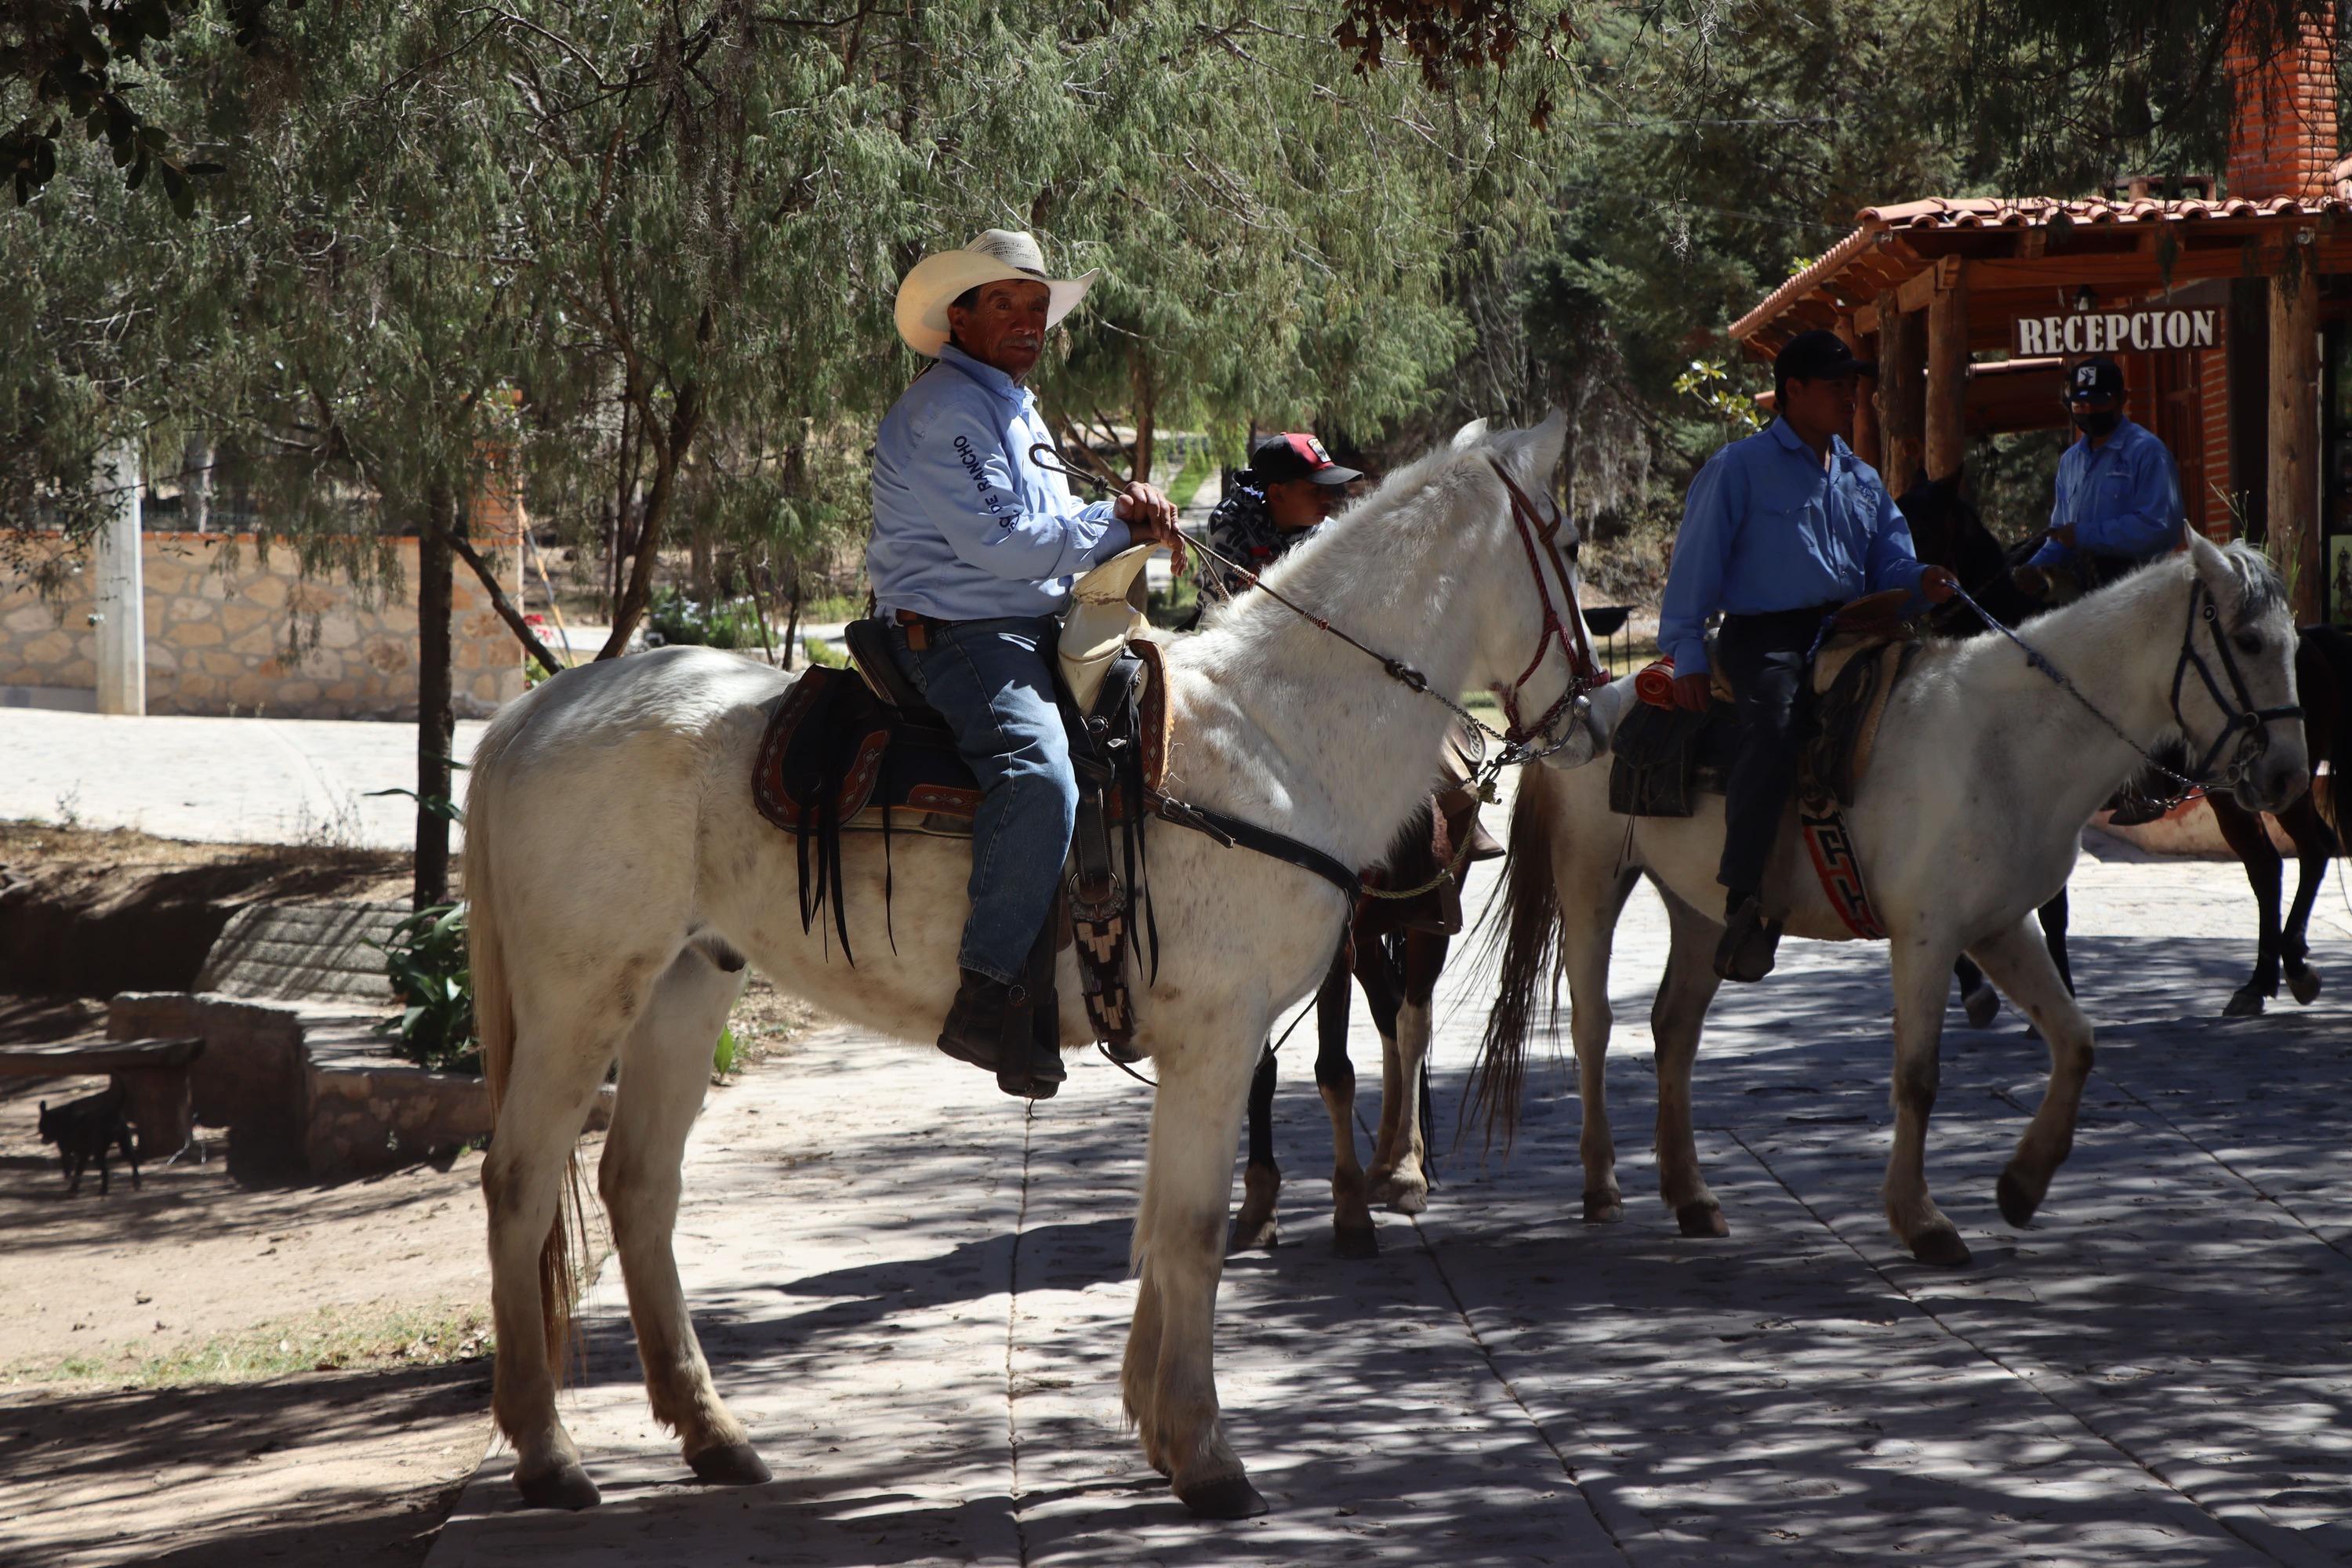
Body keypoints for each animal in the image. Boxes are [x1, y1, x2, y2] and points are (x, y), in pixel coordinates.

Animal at [463, 416, 1599, 1523]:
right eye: (1568, 539)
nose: (1589, 714)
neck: (1274, 738)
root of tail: (534, 714)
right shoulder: (1218, 1037)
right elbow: (1193, 1231)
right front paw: (1208, 1457)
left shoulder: (1202, 1049)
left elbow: (1159, 1225)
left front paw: (1156, 1426)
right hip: (582, 996)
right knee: (520, 1180)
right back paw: (549, 1453)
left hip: (687, 982)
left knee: (638, 1185)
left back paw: (714, 1435)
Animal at [1477, 535, 2305, 1260]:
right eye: (2248, 642)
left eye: (2296, 643)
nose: (2290, 775)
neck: (2009, 739)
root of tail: (1585, 713)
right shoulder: (1929, 938)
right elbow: (1918, 1077)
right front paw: (1922, 1221)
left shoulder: (2000, 927)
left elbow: (2076, 1041)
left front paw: (2022, 1186)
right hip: (1591, 882)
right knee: (1592, 1025)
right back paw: (1602, 1186)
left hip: (1702, 912)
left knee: (1674, 1029)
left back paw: (1692, 1197)